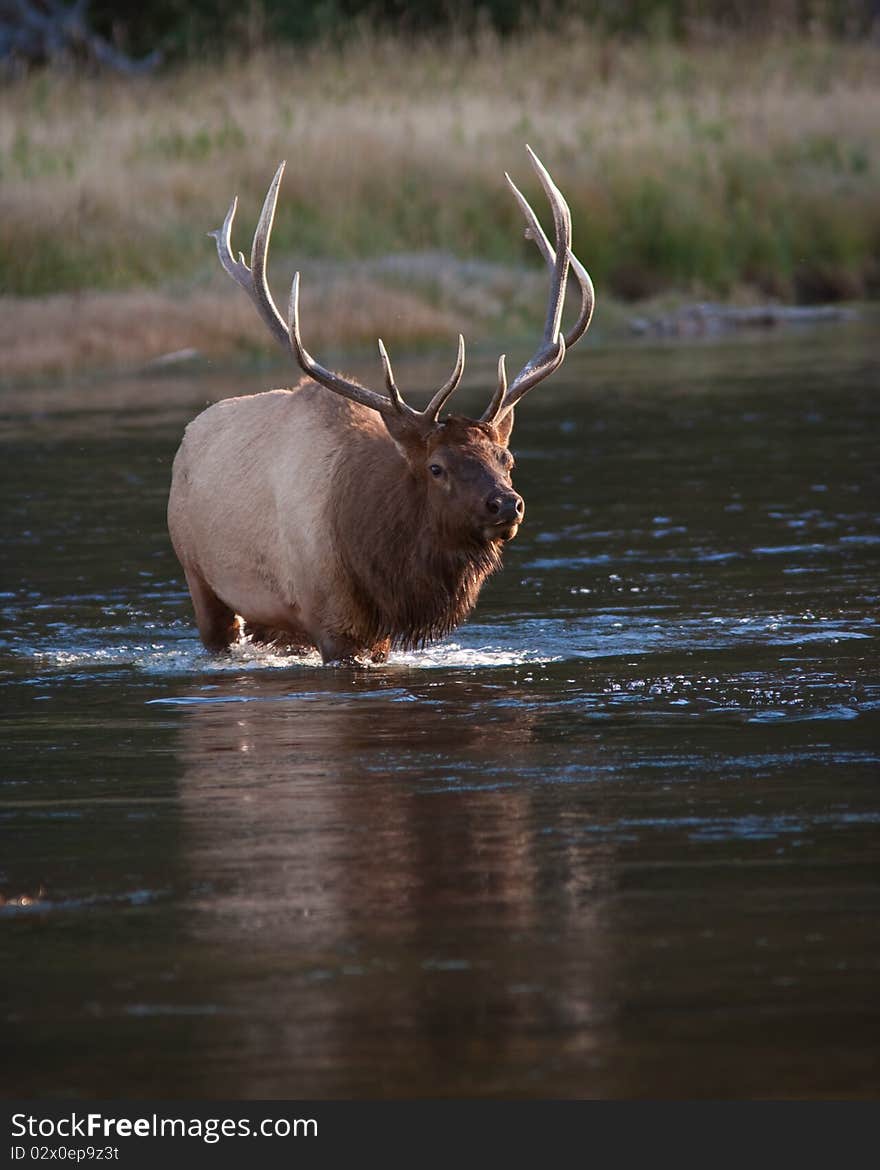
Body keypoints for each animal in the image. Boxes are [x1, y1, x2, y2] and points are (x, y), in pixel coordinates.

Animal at [168, 143, 594, 669]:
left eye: (506, 457)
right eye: (436, 467)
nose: (506, 503)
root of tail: (190, 435)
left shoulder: (377, 636)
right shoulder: (333, 621)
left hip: (275, 621)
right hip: (199, 576)